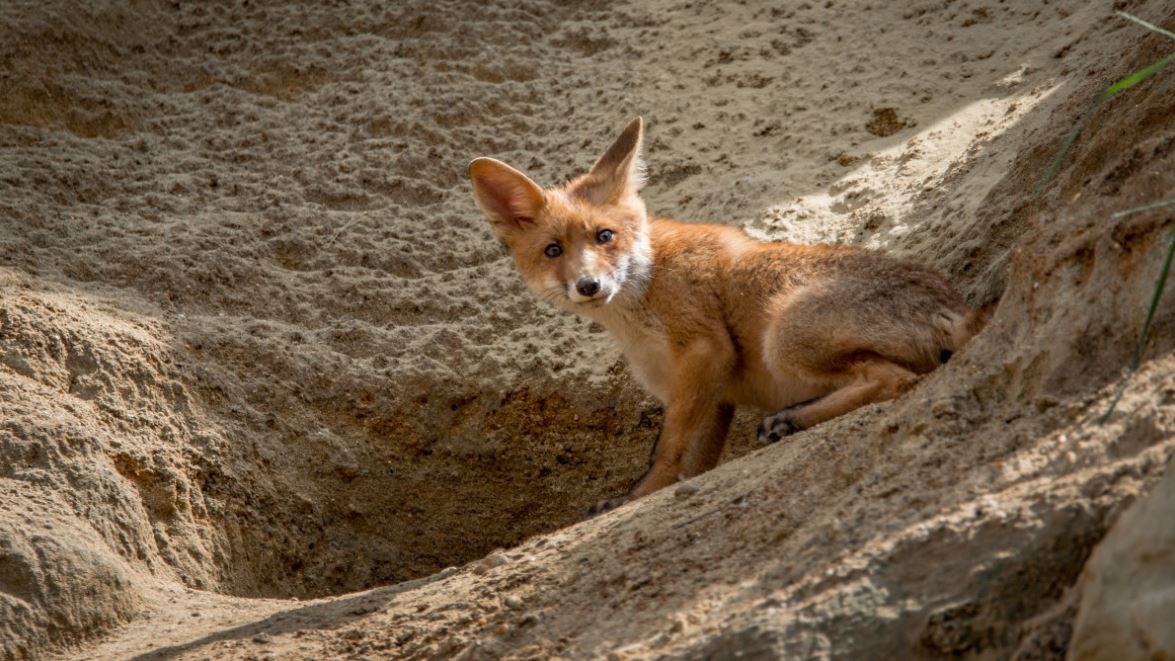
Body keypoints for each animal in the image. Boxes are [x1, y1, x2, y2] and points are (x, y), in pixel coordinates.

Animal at [467, 117, 991, 511]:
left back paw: (794, 418)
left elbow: (666, 451)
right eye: (553, 250)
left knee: (895, 380)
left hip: (783, 339)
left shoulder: (706, 351)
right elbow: (693, 462)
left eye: (604, 236)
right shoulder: (712, 394)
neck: (645, 299)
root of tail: (955, 304)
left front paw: (636, 498)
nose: (589, 285)